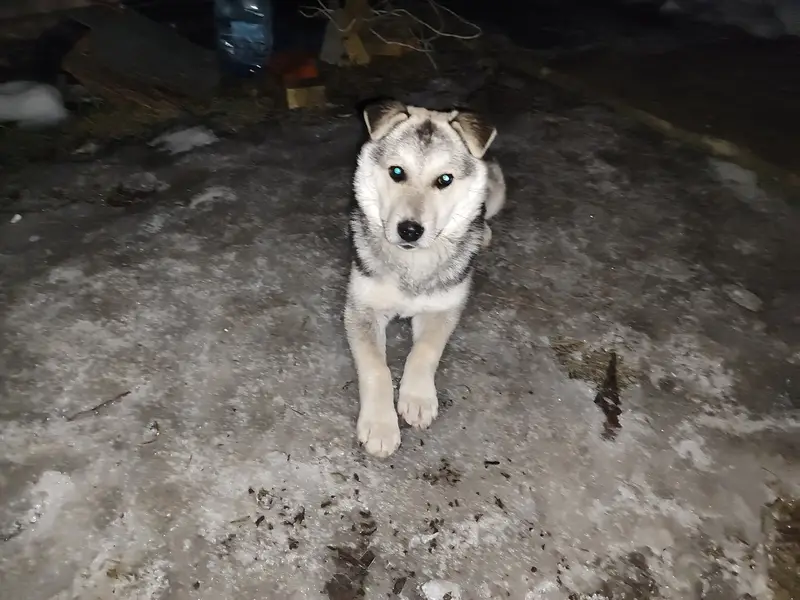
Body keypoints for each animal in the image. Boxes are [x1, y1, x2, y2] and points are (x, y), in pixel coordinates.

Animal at [344, 99, 506, 458]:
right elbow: (376, 367)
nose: (409, 230)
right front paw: (380, 425)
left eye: (444, 179)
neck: (412, 262)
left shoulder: (443, 309)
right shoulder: (360, 309)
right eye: (397, 172)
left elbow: (425, 351)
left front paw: (417, 398)